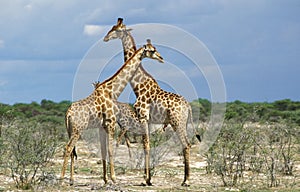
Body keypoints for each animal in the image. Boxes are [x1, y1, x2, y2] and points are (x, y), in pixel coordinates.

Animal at [60, 39, 164, 184]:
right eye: (152, 50)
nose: (161, 58)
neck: (113, 91)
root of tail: (68, 113)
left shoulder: (102, 126)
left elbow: (104, 150)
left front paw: (105, 179)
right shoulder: (111, 123)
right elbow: (110, 149)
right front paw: (114, 178)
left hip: (71, 130)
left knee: (73, 151)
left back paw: (71, 179)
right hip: (77, 129)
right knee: (68, 148)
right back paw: (61, 178)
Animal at [103, 18, 202, 186]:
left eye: (116, 29)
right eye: (112, 28)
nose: (105, 38)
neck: (138, 85)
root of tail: (188, 106)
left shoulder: (143, 116)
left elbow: (146, 145)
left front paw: (146, 180)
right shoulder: (147, 120)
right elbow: (145, 144)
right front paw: (147, 177)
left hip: (177, 122)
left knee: (186, 145)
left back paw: (187, 181)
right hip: (182, 122)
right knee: (186, 145)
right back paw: (184, 179)